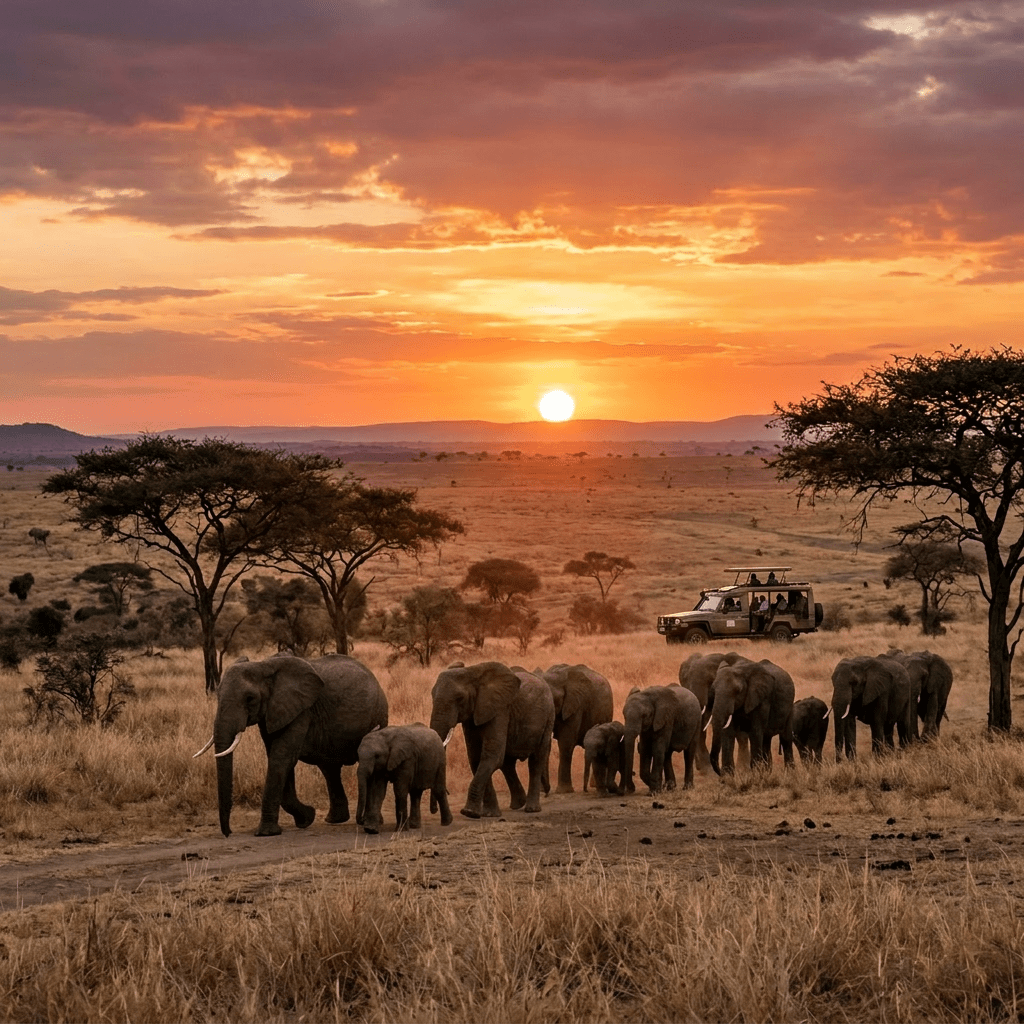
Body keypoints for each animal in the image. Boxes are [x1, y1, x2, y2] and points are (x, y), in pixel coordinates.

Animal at [196, 654, 388, 837]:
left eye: (250, 699)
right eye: (217, 695)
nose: (228, 833)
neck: (263, 665)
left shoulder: (302, 711)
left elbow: (281, 757)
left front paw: (266, 833)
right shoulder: (273, 713)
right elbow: (278, 758)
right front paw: (307, 818)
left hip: (379, 714)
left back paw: (370, 822)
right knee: (329, 768)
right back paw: (335, 820)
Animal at [429, 662, 554, 818]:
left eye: (460, 698)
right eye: (432, 695)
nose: (434, 810)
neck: (472, 672)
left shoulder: (500, 710)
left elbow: (490, 756)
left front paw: (469, 813)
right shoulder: (472, 717)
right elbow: (476, 758)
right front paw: (489, 814)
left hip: (548, 717)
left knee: (536, 760)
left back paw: (531, 809)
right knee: (507, 764)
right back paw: (518, 804)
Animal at [537, 663, 614, 792]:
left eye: (552, 700)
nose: (546, 790)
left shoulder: (576, 706)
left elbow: (566, 742)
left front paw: (564, 791)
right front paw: (542, 790)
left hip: (607, 712)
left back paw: (596, 785)